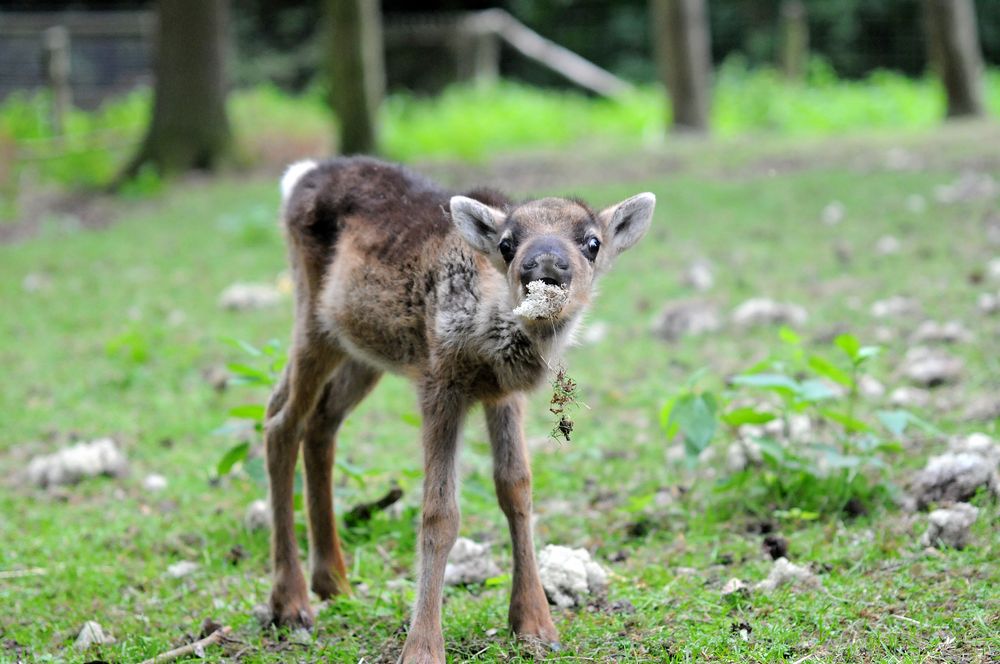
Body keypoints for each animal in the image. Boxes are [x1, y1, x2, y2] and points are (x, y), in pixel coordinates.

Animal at [266, 158, 656, 660]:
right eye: (507, 244)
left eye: (592, 242)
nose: (545, 263)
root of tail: (299, 175)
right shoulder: (439, 381)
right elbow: (439, 513)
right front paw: (423, 646)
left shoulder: (503, 395)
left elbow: (516, 489)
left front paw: (535, 623)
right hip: (313, 320)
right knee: (281, 423)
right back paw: (291, 602)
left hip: (361, 350)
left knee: (317, 422)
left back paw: (333, 581)